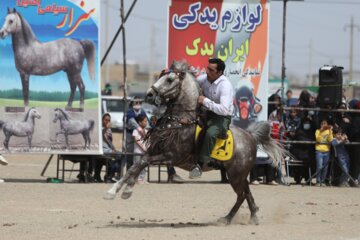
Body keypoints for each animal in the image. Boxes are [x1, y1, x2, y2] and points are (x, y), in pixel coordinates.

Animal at [104, 60, 286, 225]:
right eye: (161, 75)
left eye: (169, 79)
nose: (148, 94)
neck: (180, 121)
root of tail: (251, 137)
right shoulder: (154, 151)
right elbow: (135, 165)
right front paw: (115, 191)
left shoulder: (171, 156)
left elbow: (142, 163)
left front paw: (125, 191)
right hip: (237, 175)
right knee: (246, 193)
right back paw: (246, 217)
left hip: (236, 175)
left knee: (241, 195)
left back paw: (231, 218)